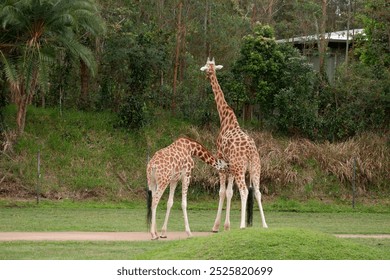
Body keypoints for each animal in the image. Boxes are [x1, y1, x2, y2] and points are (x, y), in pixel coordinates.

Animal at [201, 57, 268, 232]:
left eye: (206, 66)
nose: (206, 74)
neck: (225, 118)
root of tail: (250, 152)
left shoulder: (221, 162)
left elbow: (222, 192)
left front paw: (217, 226)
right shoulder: (230, 166)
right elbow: (230, 192)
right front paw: (226, 226)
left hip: (240, 168)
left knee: (244, 191)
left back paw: (243, 225)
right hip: (255, 168)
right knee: (257, 192)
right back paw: (265, 225)